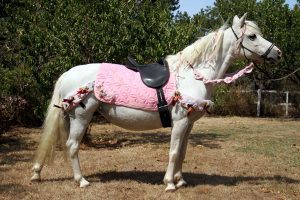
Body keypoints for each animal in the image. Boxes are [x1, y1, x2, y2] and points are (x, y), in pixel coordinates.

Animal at [29, 13, 282, 191]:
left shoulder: (189, 124)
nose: (277, 53)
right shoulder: (180, 122)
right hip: (82, 117)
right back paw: (81, 181)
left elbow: (182, 152)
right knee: (72, 146)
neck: (192, 75)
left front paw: (180, 180)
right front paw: (169, 183)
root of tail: (68, 73)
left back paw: (37, 173)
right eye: (252, 36)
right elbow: (173, 151)